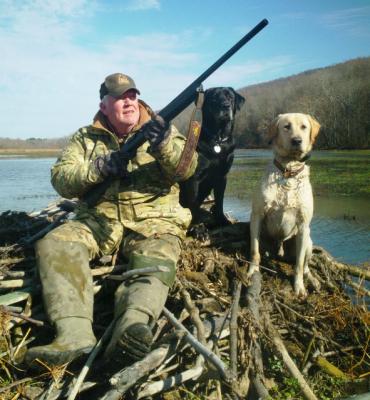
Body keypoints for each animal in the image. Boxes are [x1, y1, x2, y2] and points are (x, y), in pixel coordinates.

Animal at [180, 87, 246, 228]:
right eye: (214, 98)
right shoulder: (193, 178)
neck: (218, 140)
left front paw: (222, 220)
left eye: (230, 97)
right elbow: (193, 204)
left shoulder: (222, 176)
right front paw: (196, 226)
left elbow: (220, 201)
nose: (225, 106)